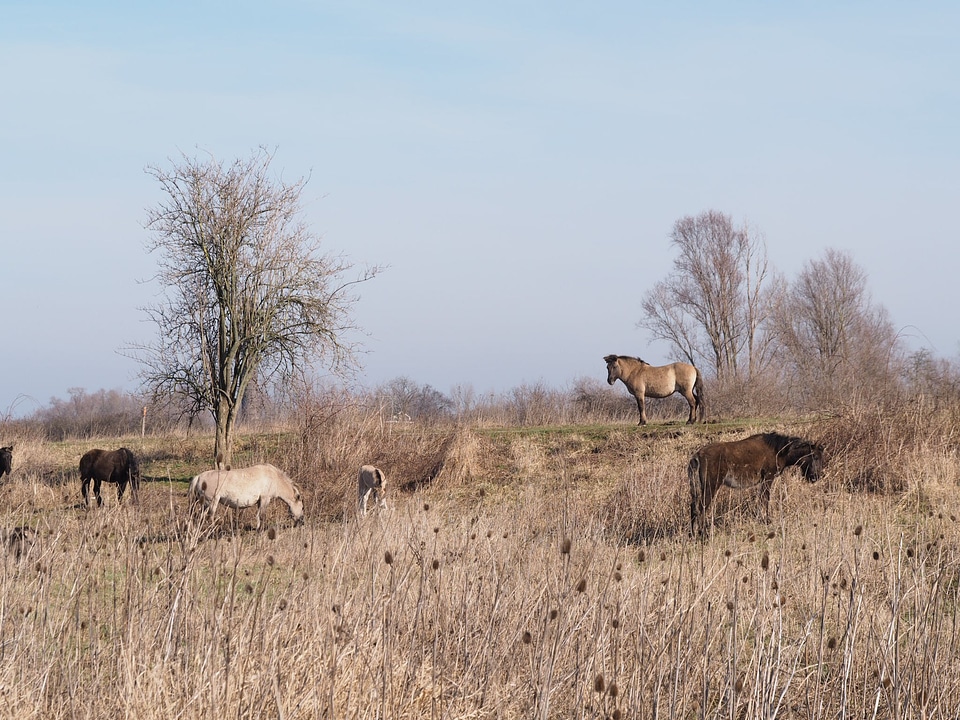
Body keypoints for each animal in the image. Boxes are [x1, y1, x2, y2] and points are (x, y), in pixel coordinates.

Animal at [688, 430, 824, 536]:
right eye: (815, 457)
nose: (816, 477)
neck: (779, 450)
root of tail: (697, 455)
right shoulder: (768, 478)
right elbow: (765, 499)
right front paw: (767, 520)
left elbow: (761, 499)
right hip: (710, 487)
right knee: (701, 508)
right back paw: (703, 534)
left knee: (694, 507)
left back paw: (693, 534)